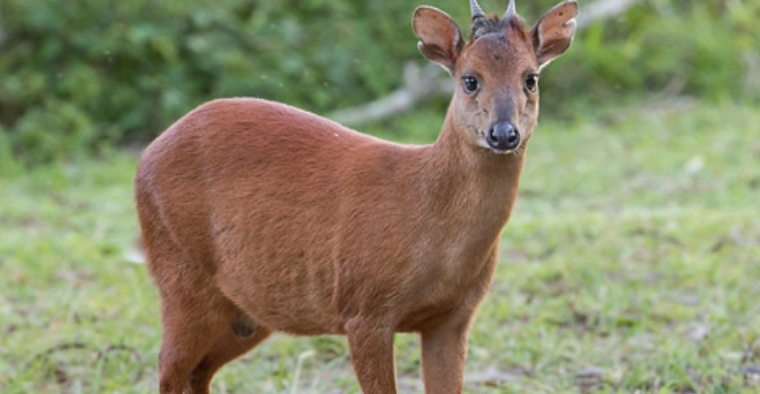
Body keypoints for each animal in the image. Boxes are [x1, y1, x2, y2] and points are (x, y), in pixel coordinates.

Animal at [135, 0, 576, 394]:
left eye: (530, 78)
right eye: (470, 79)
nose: (503, 133)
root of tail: (145, 156)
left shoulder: (453, 317)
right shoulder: (364, 309)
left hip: (250, 307)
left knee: (198, 373)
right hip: (182, 276)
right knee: (168, 371)